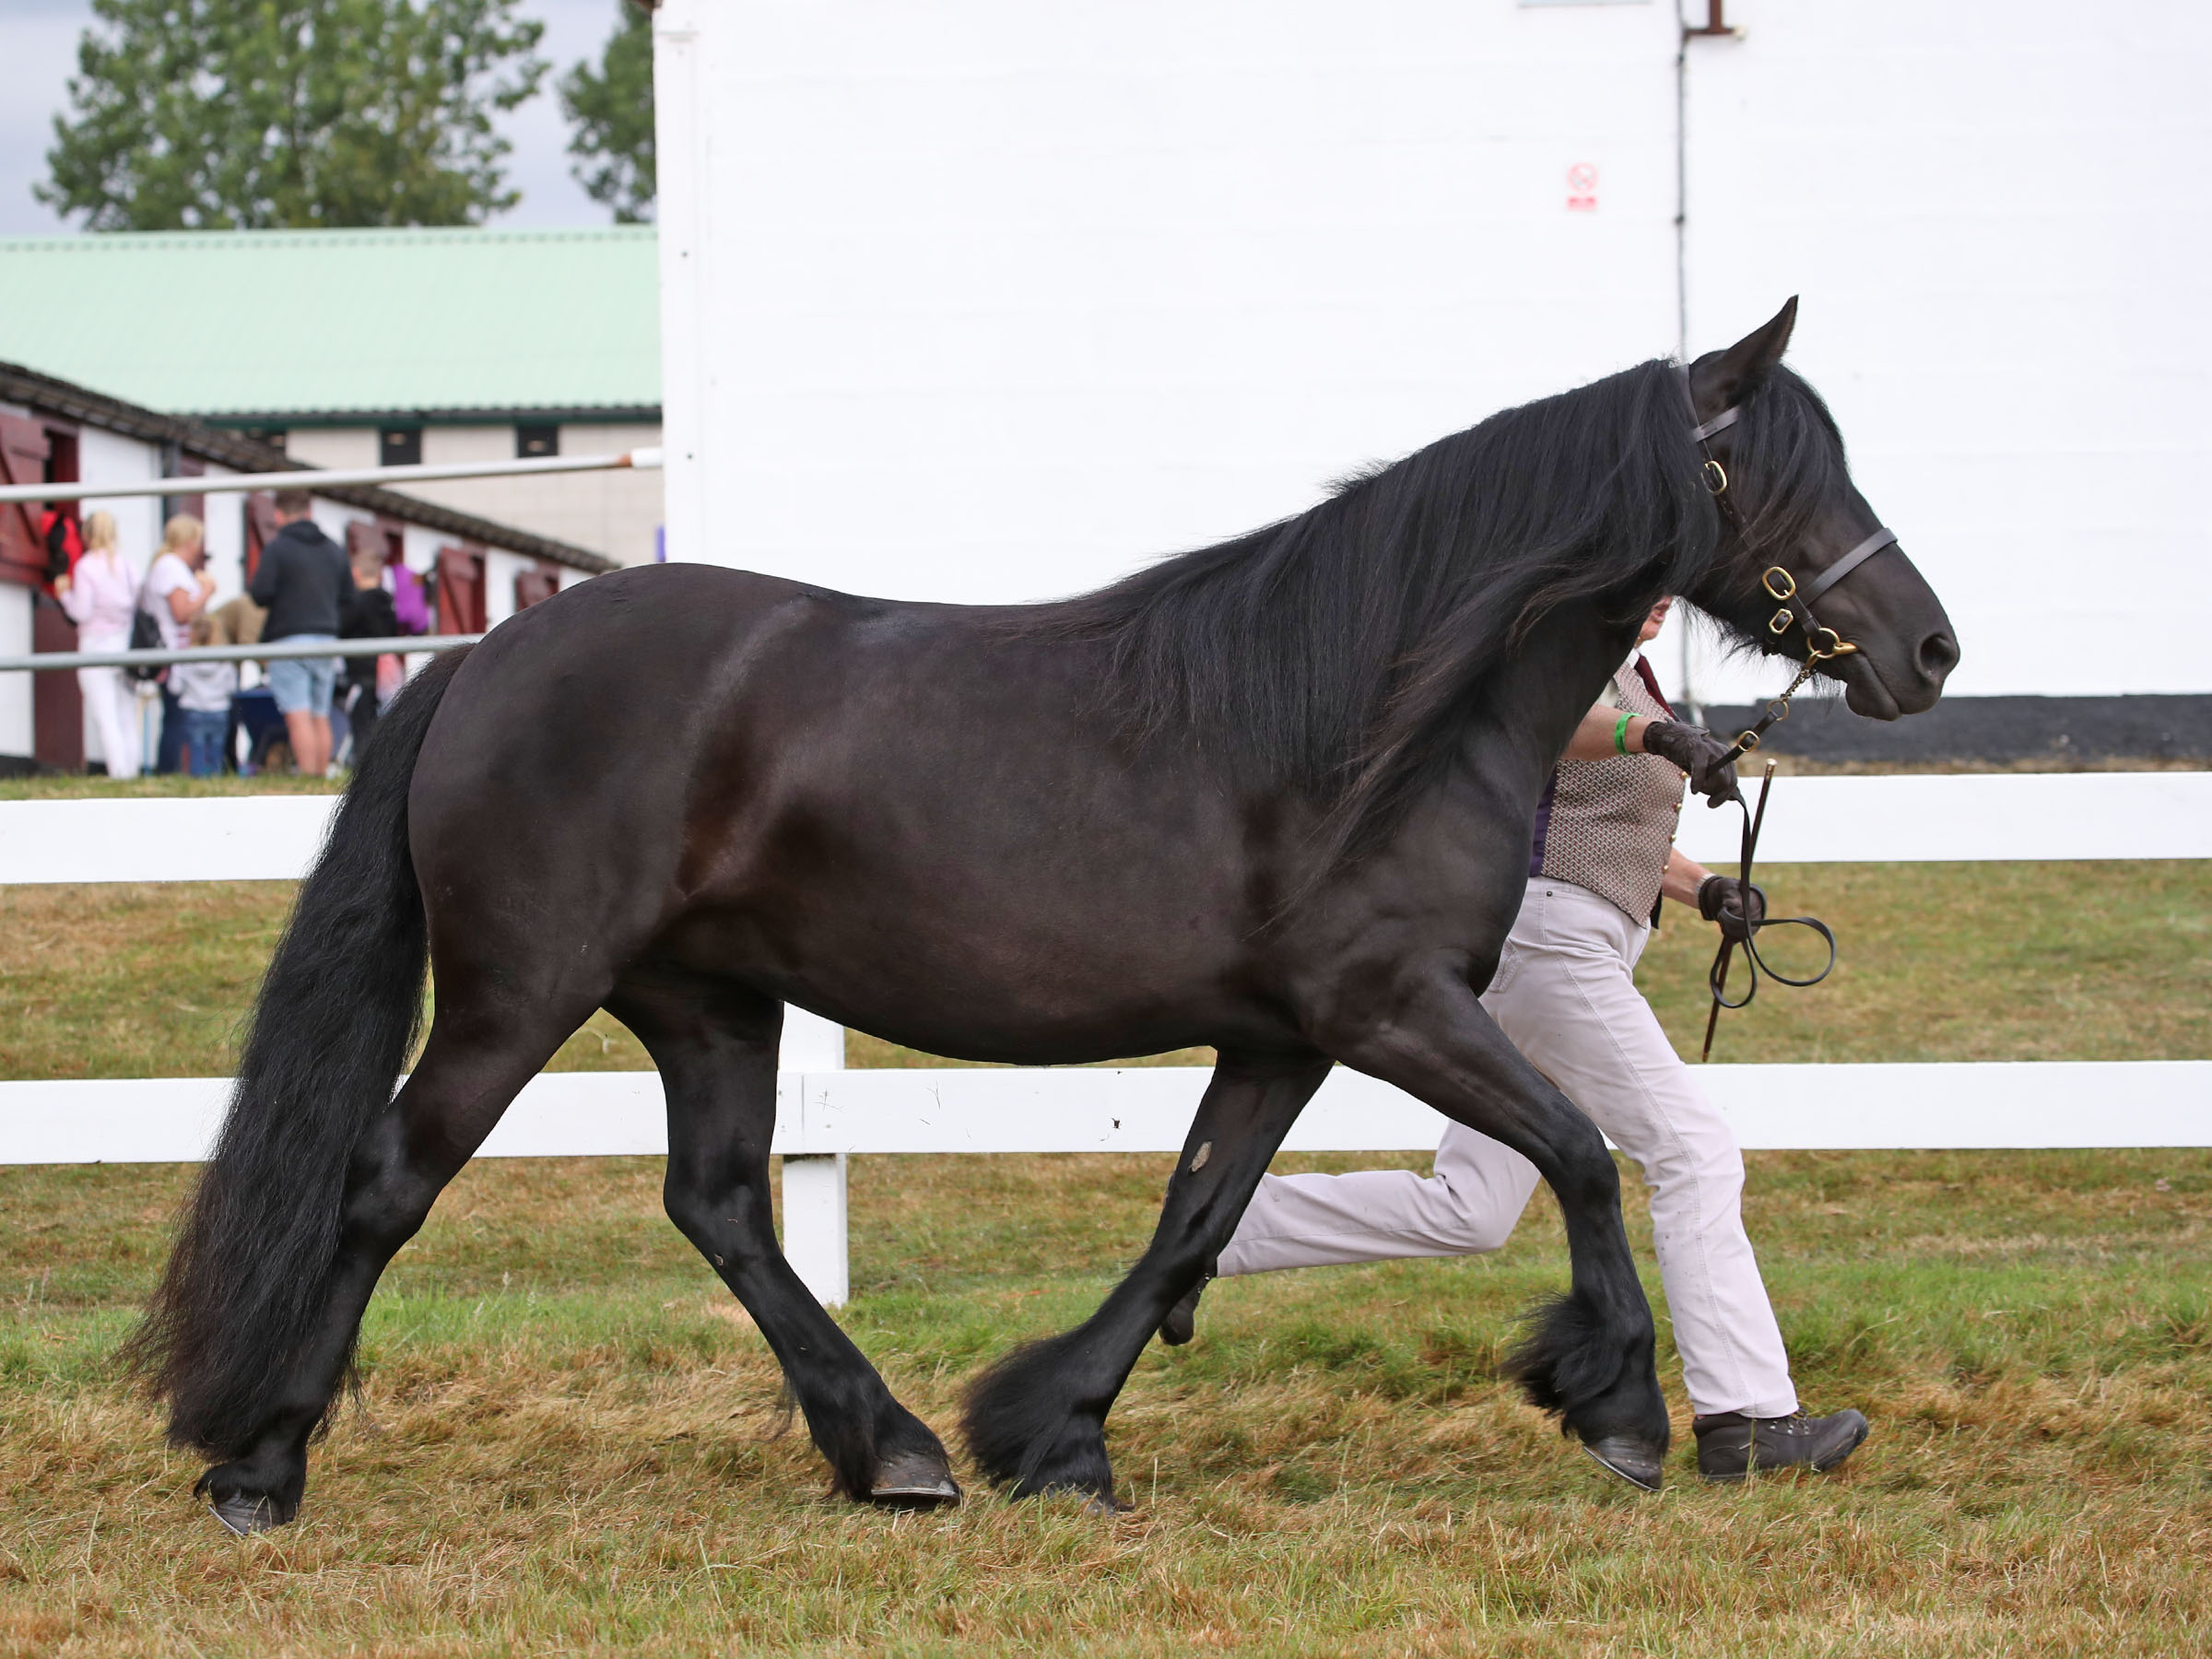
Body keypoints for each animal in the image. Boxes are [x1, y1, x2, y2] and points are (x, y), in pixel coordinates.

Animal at [125, 302, 1955, 1530]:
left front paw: (1054, 1431)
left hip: (710, 1004)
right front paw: (1621, 1403)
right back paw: (262, 1465)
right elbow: (1580, 1155)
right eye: (1775, 469)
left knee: (719, 1206)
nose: (1928, 647)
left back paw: (893, 1450)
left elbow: (1195, 1217)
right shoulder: (1393, 1007)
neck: (1377, 715)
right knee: (387, 1184)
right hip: (519, 998)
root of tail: (489, 657)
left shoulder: (1284, 1038)